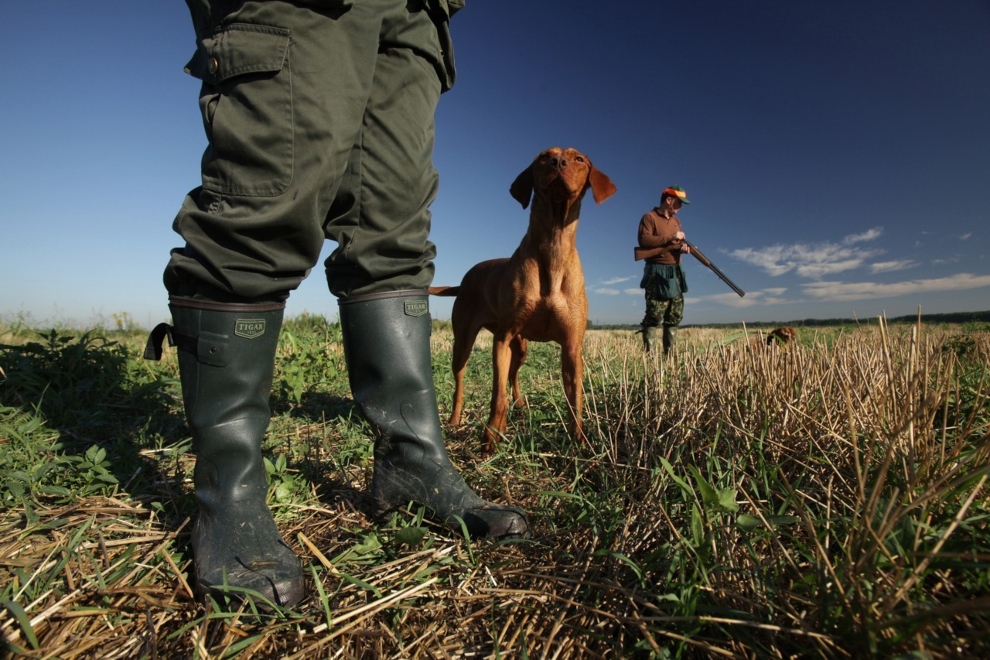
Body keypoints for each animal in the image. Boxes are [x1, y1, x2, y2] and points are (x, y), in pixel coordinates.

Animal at [430, 147, 616, 452]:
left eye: (578, 159)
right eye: (544, 157)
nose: (558, 162)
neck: (553, 245)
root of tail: (466, 278)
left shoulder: (572, 347)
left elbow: (575, 400)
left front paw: (579, 440)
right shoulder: (502, 338)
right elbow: (497, 395)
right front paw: (491, 436)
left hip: (521, 347)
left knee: (513, 375)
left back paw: (518, 405)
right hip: (465, 341)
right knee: (461, 381)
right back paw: (456, 420)